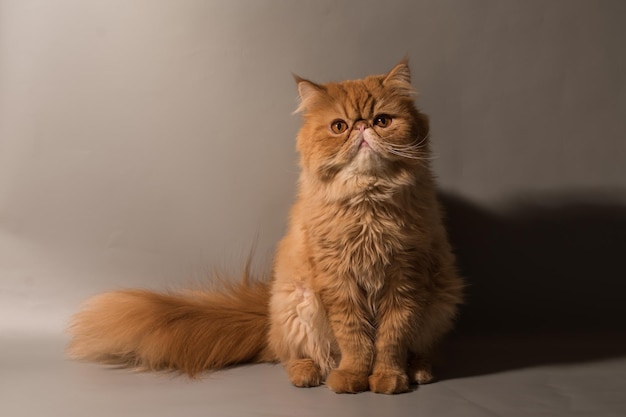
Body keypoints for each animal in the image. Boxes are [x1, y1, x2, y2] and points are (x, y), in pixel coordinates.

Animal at [68, 59, 460, 394]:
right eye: (339, 127)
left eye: (382, 121)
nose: (361, 127)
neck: (368, 204)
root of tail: (267, 313)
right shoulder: (339, 283)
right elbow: (355, 340)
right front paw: (351, 378)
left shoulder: (405, 278)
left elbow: (391, 339)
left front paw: (389, 378)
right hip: (296, 302)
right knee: (295, 355)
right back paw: (308, 374)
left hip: (441, 298)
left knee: (416, 348)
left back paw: (418, 370)